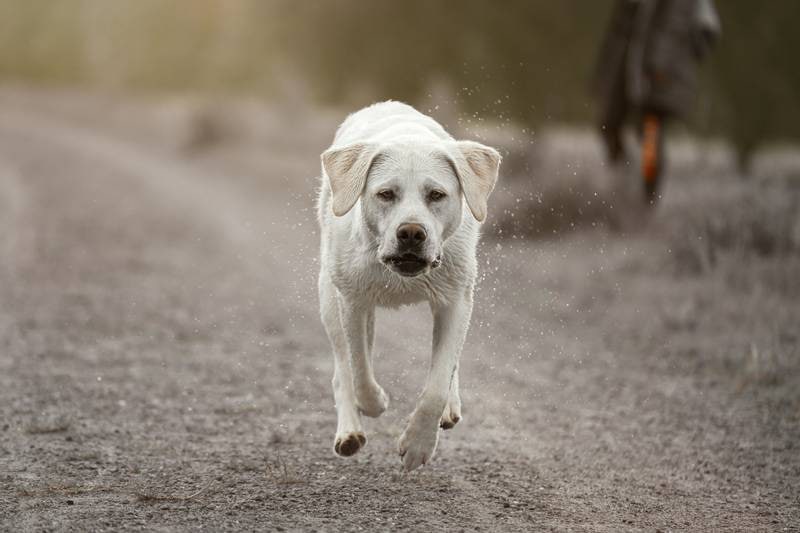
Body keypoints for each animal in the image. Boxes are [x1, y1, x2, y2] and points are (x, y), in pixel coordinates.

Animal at [318, 101, 500, 470]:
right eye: (386, 194)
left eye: (437, 195)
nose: (412, 233)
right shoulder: (353, 302)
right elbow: (359, 369)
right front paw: (375, 402)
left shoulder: (455, 301)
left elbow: (437, 384)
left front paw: (418, 444)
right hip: (328, 297)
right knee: (342, 369)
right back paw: (349, 431)